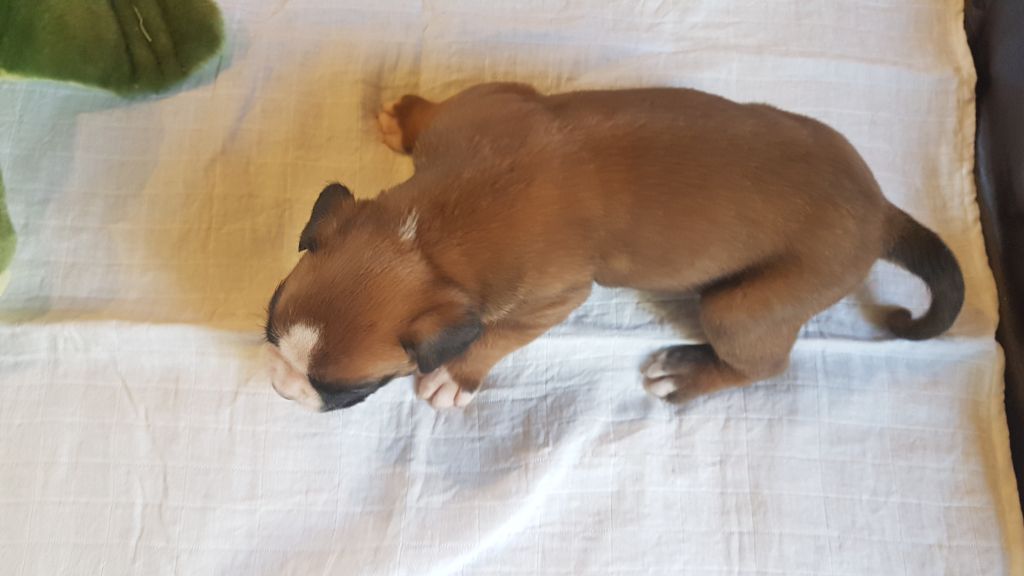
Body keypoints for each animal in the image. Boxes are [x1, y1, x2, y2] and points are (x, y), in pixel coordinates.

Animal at [263, 82, 964, 412]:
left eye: (342, 388)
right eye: (269, 324)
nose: (281, 388)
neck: (426, 232)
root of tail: (880, 211)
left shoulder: (552, 297)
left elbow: (496, 336)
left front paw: (454, 378)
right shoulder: (487, 100)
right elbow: (435, 113)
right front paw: (406, 114)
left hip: (744, 306)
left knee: (762, 364)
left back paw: (685, 374)